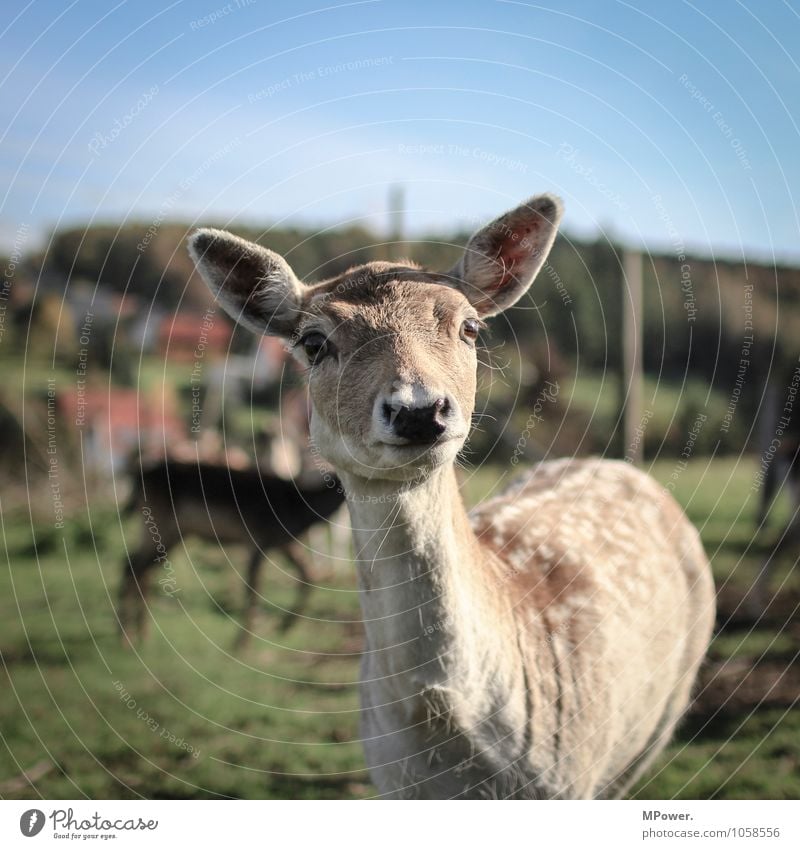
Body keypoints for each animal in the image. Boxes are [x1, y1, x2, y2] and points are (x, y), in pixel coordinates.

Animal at [118, 460, 344, 644]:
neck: (298, 510)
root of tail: (138, 477)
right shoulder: (257, 540)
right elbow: (254, 589)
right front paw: (240, 646)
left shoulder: (282, 543)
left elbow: (308, 575)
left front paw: (284, 628)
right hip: (159, 523)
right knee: (132, 566)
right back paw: (126, 639)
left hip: (174, 533)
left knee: (137, 567)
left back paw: (141, 636)